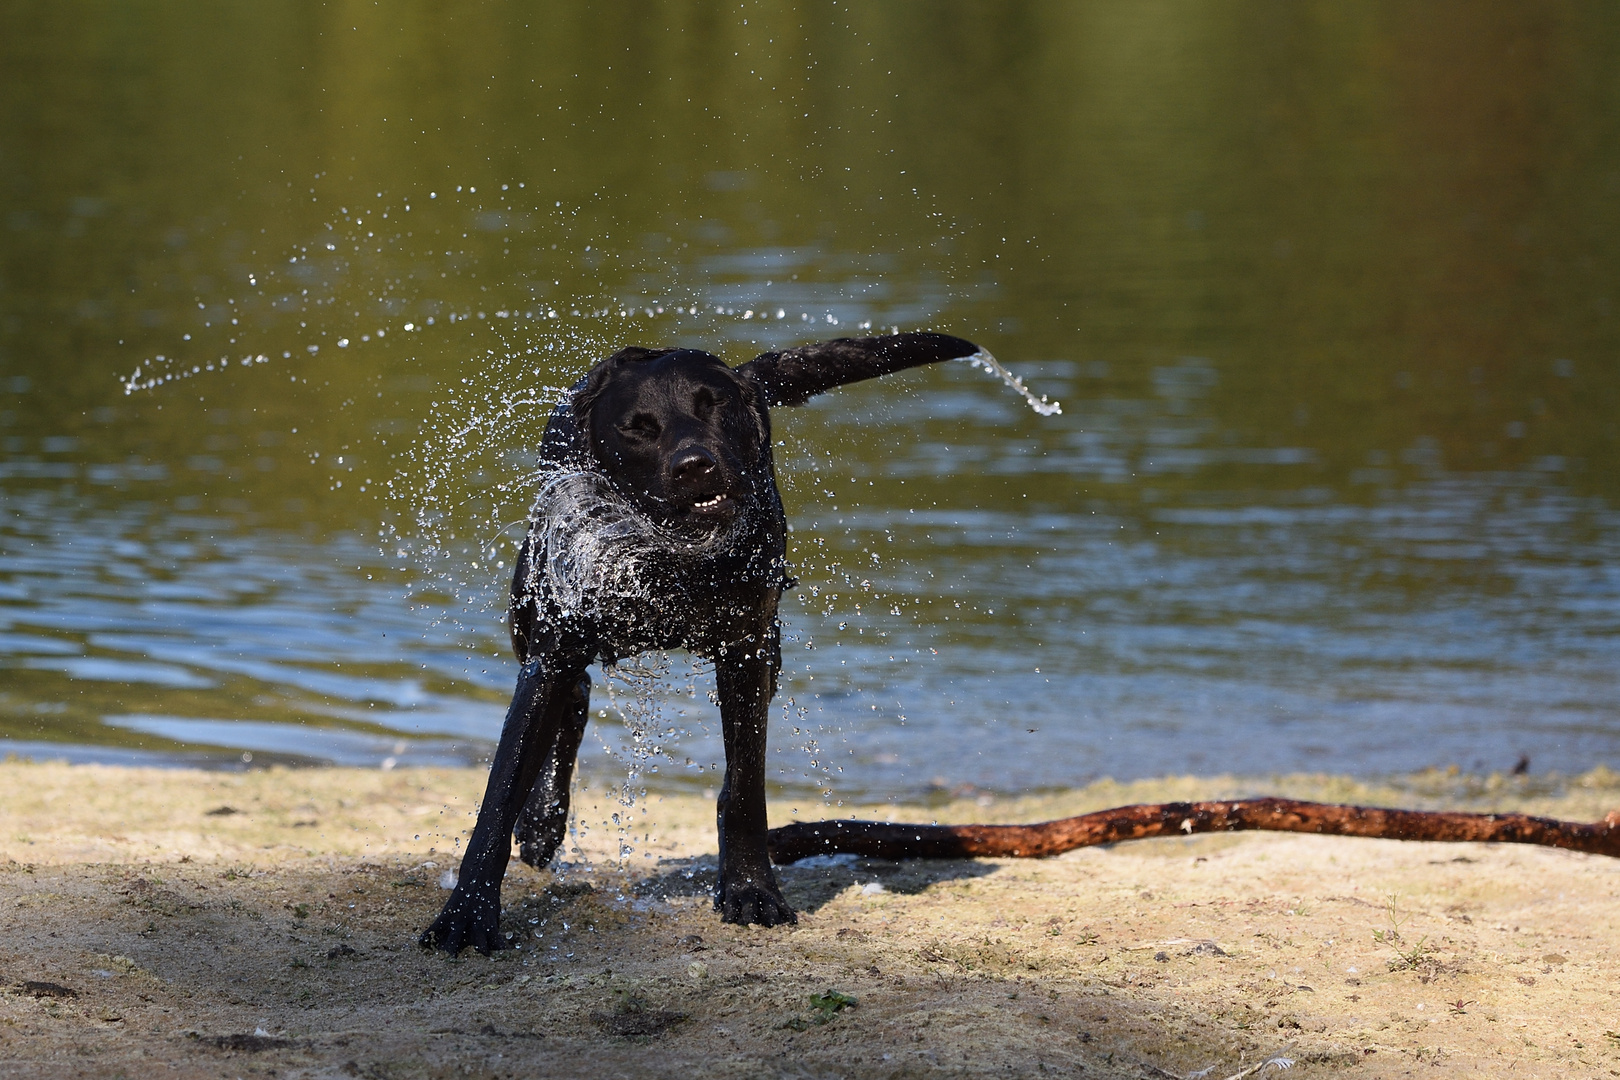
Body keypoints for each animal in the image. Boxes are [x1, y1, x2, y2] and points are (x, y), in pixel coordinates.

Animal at [421, 330, 972, 952]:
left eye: (713, 405)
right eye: (638, 428)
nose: (695, 466)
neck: (671, 560)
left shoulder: (746, 652)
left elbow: (746, 787)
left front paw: (751, 889)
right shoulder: (554, 648)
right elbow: (500, 789)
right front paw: (467, 912)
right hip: (530, 612)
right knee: (574, 694)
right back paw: (541, 823)